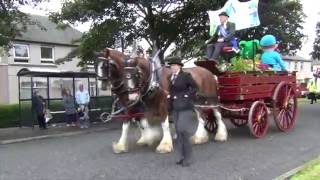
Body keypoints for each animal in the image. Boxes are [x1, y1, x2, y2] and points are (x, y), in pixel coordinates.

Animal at [96, 48, 229, 153]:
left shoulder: (160, 105)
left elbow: (162, 124)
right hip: (196, 103)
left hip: (211, 100)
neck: (153, 81)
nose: (101, 85)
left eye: (105, 66)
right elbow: (133, 125)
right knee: (201, 118)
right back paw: (199, 138)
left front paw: (163, 144)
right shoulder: (134, 107)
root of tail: (209, 73)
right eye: (124, 74)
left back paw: (220, 135)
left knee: (217, 115)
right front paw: (123, 144)